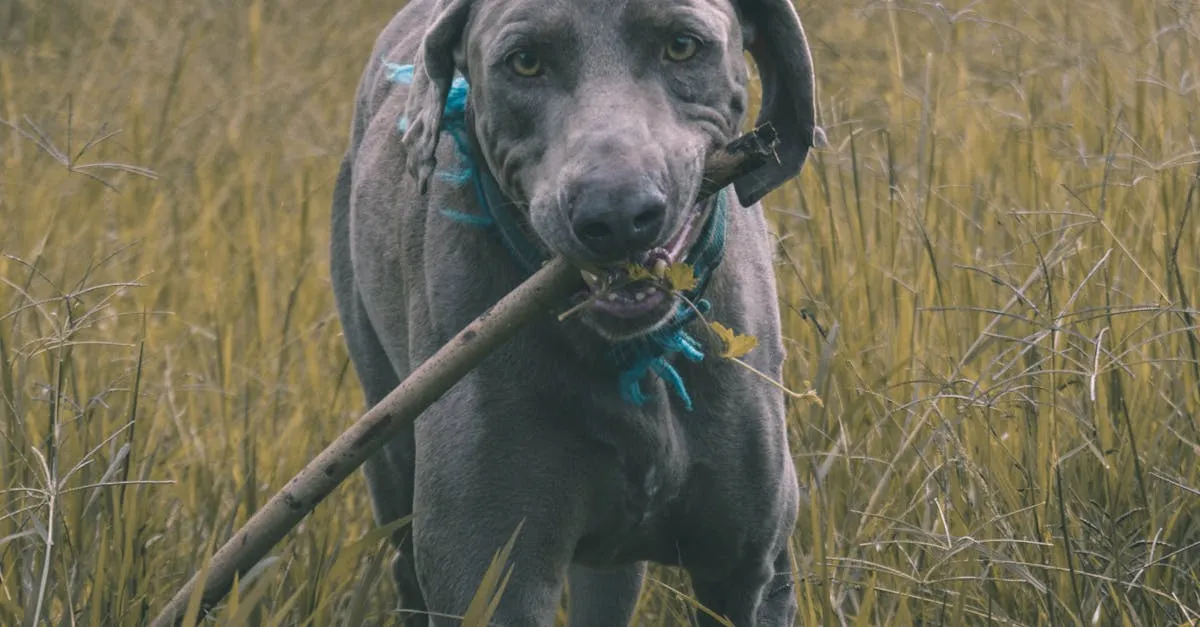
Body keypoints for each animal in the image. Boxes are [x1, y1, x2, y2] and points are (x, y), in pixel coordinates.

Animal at [328, 0, 816, 619]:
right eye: (525, 62)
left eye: (682, 46)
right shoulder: (488, 577)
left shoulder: (751, 574)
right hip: (387, 433)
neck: (637, 353)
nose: (617, 215)